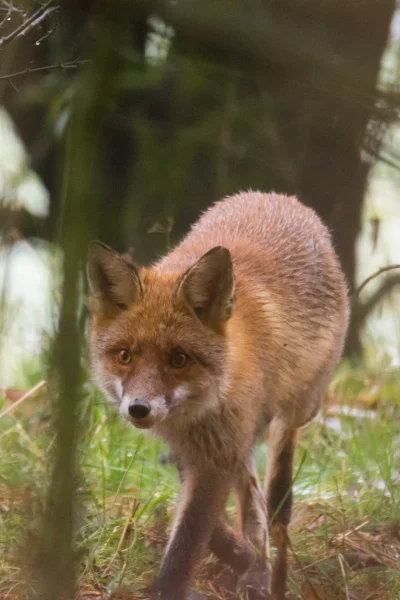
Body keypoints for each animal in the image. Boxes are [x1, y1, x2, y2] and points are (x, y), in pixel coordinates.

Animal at [86, 191, 348, 600]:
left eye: (179, 359)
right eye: (125, 356)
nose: (139, 409)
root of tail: (277, 197)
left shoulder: (218, 449)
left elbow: (187, 544)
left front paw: (173, 587)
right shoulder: (198, 449)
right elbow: (210, 527)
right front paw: (239, 554)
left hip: (298, 410)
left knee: (277, 487)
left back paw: (273, 568)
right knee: (253, 501)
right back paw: (255, 563)